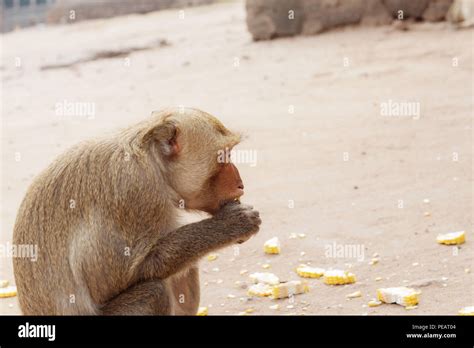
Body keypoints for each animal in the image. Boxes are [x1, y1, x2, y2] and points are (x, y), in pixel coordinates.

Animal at [12, 106, 262, 316]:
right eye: (224, 156)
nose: (240, 183)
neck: (152, 161)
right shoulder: (134, 193)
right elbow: (122, 276)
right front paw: (231, 225)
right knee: (155, 292)